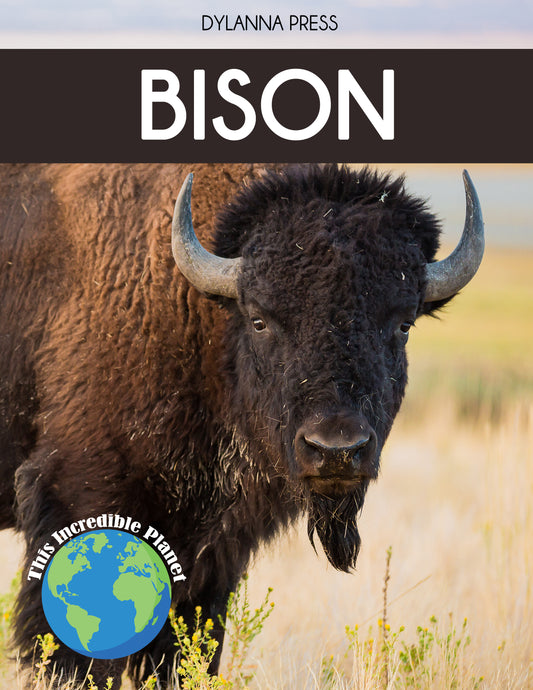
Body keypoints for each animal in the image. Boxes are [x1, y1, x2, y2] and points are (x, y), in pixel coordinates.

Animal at [0, 163, 484, 687]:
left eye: (402, 325)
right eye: (259, 320)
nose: (336, 450)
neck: (200, 314)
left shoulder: (213, 552)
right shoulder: (78, 498)